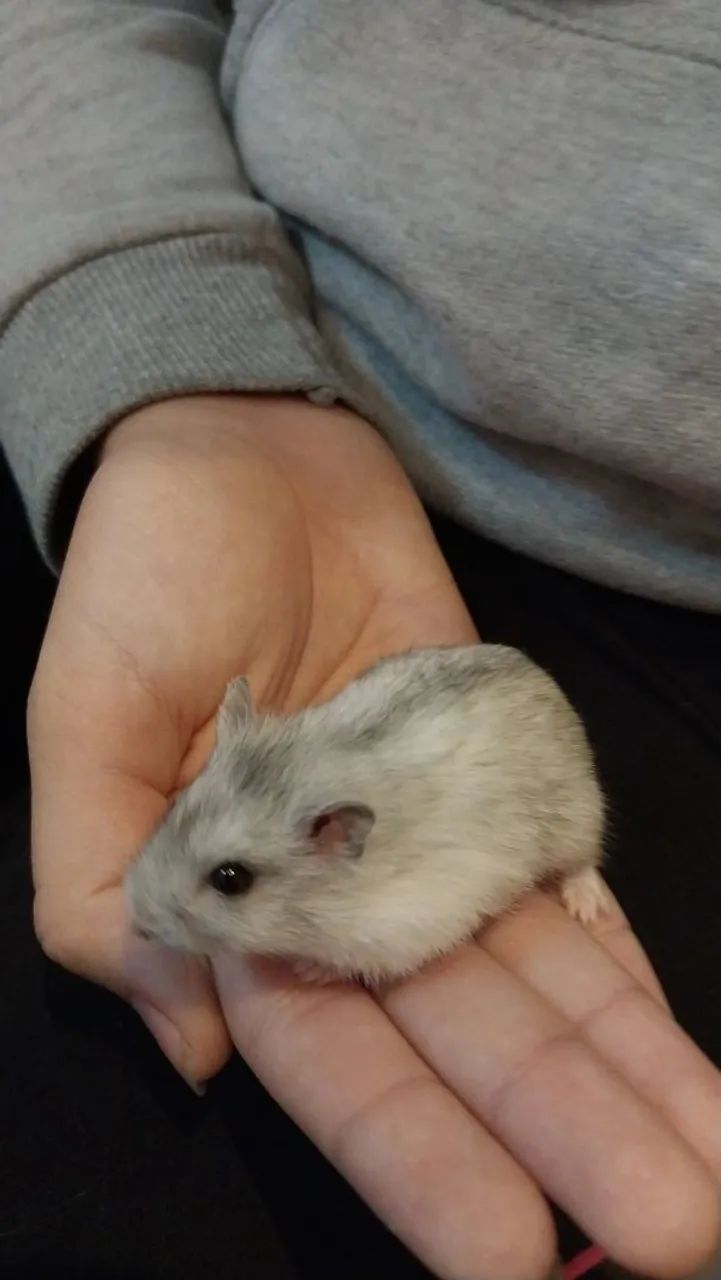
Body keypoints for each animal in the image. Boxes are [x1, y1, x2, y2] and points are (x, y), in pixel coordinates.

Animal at [125, 644, 608, 985]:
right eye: (174, 806)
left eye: (231, 879)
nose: (137, 928)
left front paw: (308, 971)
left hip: (578, 811)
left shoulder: (404, 929)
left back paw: (587, 907)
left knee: (582, 860)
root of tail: (542, 677)